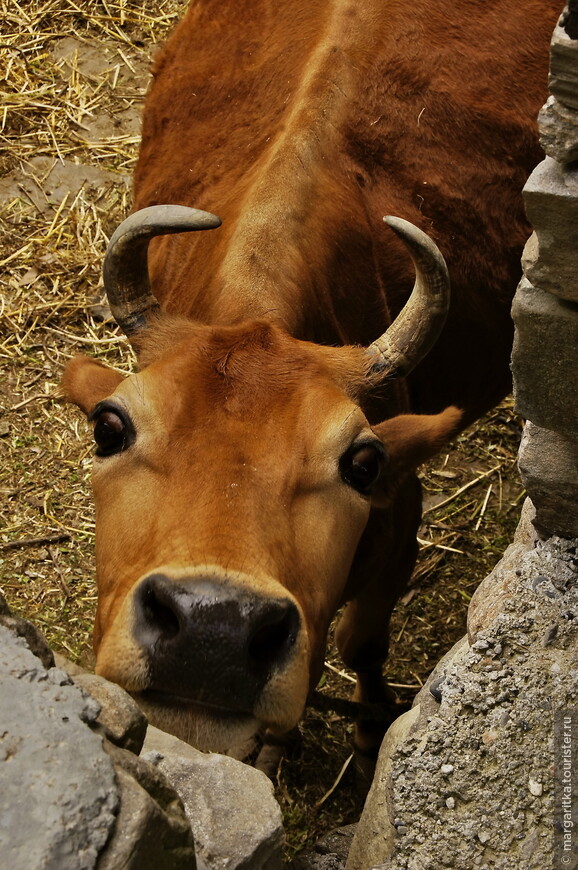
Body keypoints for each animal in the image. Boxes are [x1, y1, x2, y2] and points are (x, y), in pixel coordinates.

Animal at [62, 0, 560, 760]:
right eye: (109, 427)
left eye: (362, 462)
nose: (213, 629)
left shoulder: (399, 521)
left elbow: (361, 642)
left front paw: (373, 721)